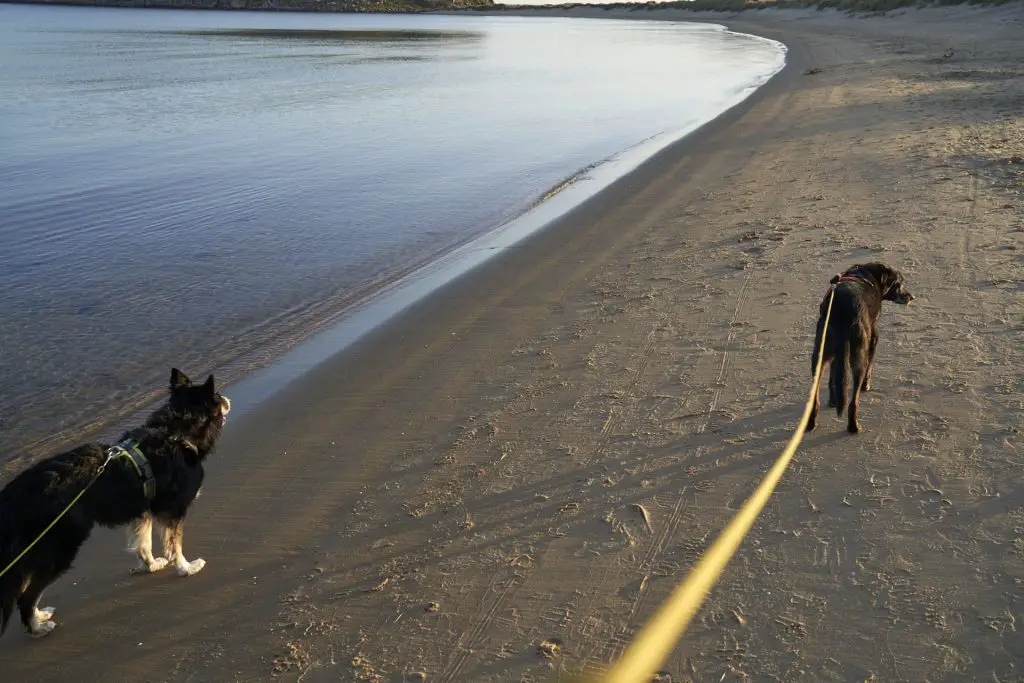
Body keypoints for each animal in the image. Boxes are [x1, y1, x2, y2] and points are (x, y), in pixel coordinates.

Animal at [0, 370, 231, 638]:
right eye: (217, 396)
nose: (227, 400)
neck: (175, 433)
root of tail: (13, 495)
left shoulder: (144, 510)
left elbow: (144, 544)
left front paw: (152, 565)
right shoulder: (173, 511)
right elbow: (174, 545)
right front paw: (186, 568)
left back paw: (40, 617)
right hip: (60, 546)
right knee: (26, 596)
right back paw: (38, 627)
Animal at [806, 266, 913, 432]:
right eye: (899, 283)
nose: (911, 297)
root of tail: (843, 312)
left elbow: (833, 378)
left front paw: (833, 400)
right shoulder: (874, 338)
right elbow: (870, 366)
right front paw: (866, 385)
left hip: (819, 354)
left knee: (816, 396)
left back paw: (811, 422)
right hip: (858, 357)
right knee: (853, 401)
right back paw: (853, 426)